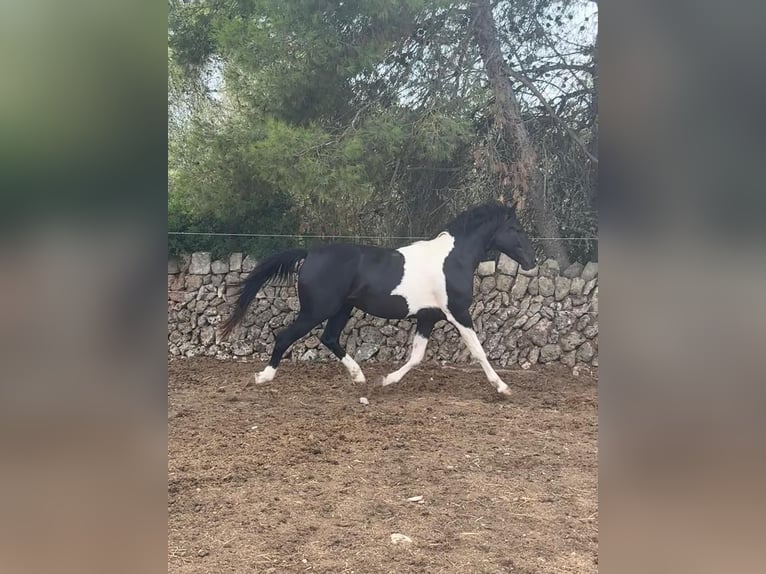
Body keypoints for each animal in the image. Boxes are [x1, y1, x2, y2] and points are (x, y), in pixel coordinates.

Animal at [220, 202, 536, 395]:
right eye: (516, 229)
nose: (532, 262)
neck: (453, 259)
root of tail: (310, 254)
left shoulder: (428, 317)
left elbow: (417, 356)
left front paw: (387, 380)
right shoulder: (458, 312)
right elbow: (478, 350)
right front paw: (503, 387)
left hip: (341, 309)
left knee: (329, 338)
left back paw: (359, 376)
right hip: (317, 310)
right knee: (285, 336)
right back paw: (264, 376)